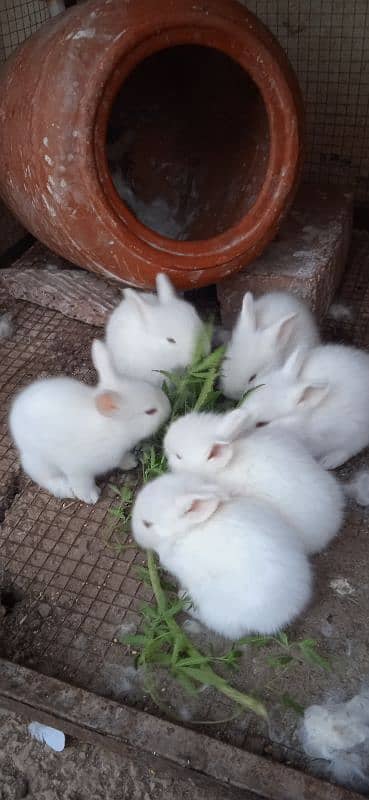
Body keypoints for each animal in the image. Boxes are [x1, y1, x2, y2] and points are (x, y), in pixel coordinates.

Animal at [9, 336, 170, 500]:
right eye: (150, 411)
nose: (169, 408)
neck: (114, 430)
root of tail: (16, 410)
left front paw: (130, 462)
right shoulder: (77, 469)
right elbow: (82, 484)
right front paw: (90, 497)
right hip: (40, 460)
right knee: (43, 476)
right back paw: (65, 489)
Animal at [132, 476, 310, 636]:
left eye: (147, 524)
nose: (134, 532)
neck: (186, 531)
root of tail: (282, 616)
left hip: (215, 607)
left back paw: (184, 600)